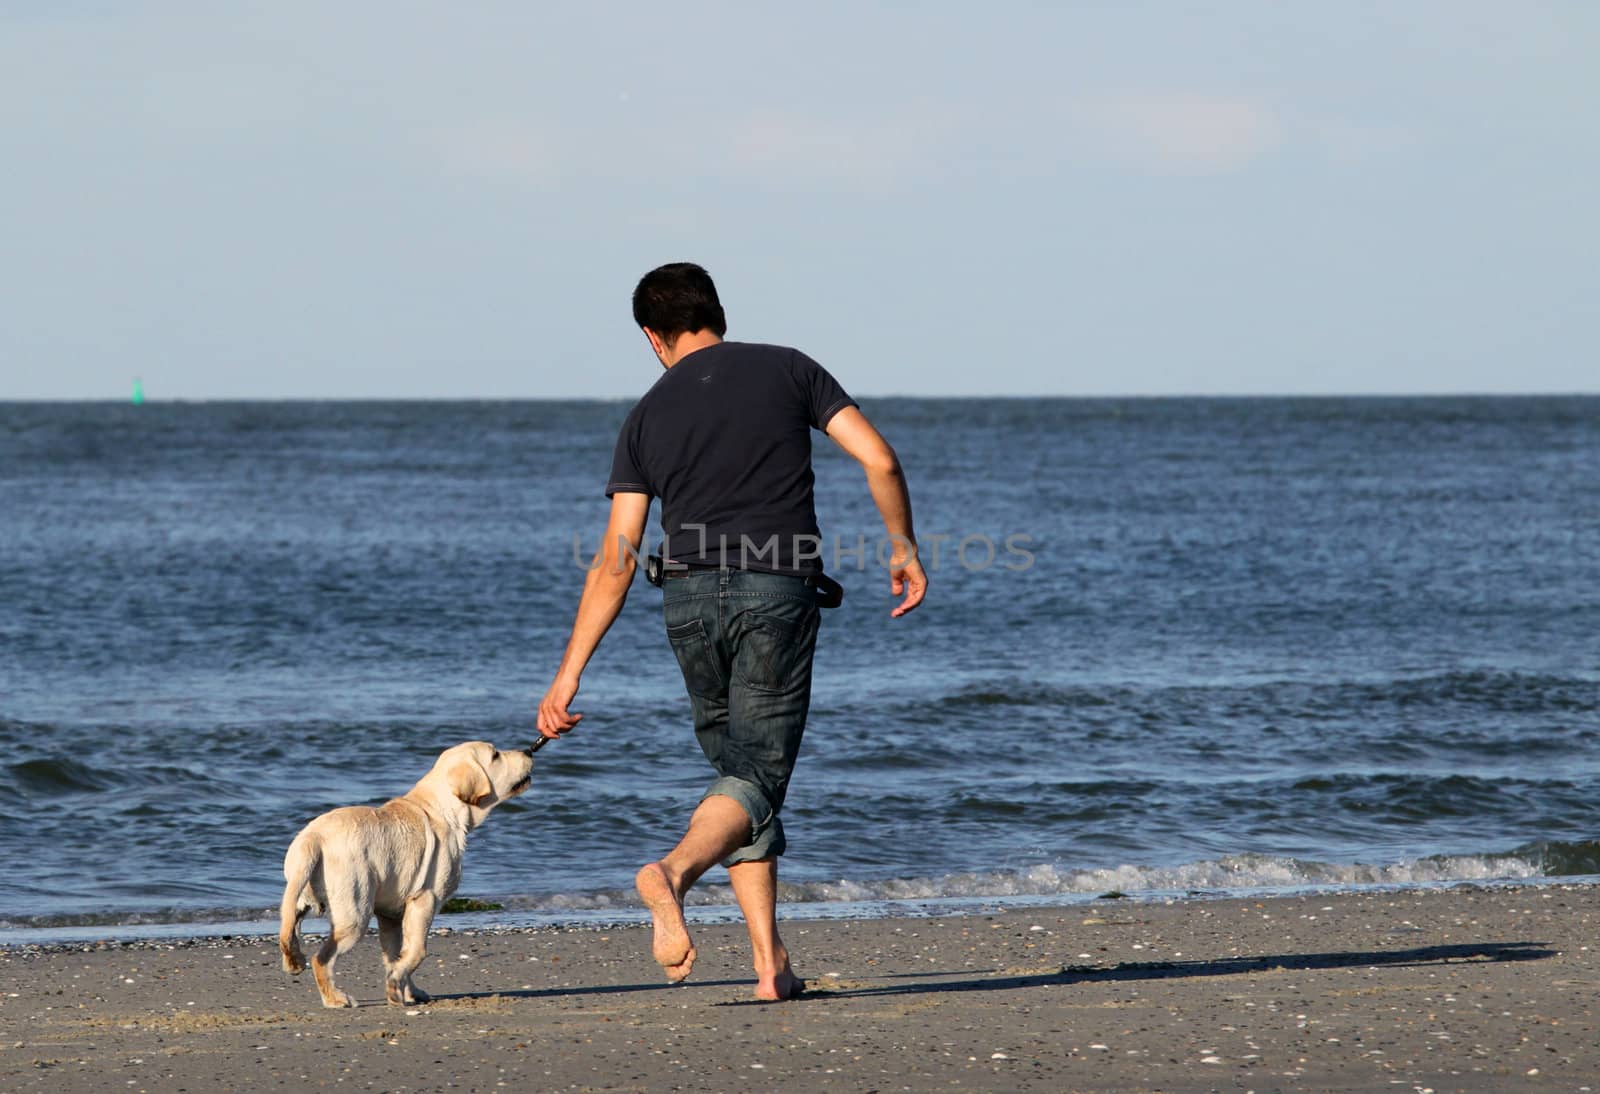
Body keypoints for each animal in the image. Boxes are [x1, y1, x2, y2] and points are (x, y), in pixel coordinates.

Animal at [278, 742, 534, 1010]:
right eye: (495, 755)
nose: (529, 751)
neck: (442, 808)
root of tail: (314, 839)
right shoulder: (424, 899)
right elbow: (417, 951)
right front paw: (395, 987)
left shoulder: (390, 915)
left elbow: (398, 954)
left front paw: (406, 989)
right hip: (355, 914)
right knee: (321, 959)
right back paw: (335, 998)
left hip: (298, 893)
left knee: (289, 929)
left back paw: (295, 960)